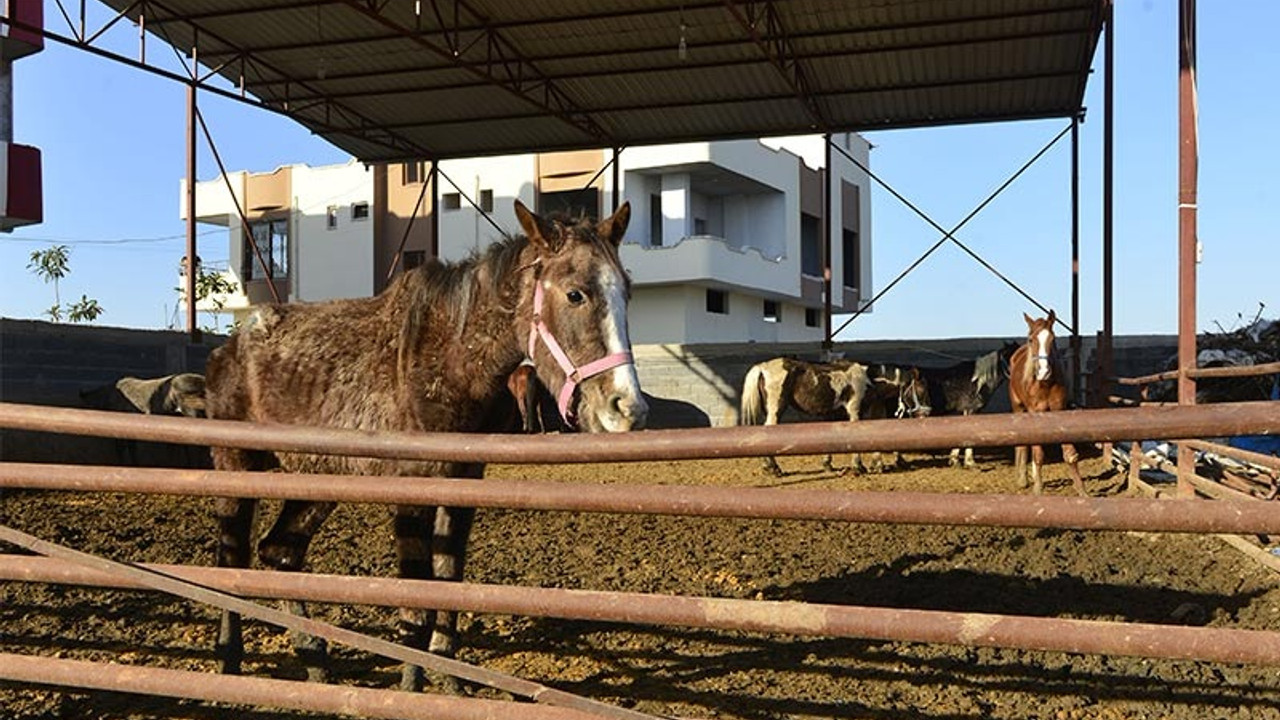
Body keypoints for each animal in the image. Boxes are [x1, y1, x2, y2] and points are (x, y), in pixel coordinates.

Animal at [209, 197, 650, 691]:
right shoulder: (412, 487)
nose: (626, 408)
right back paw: (230, 656)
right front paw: (410, 686)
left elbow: (447, 583)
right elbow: (415, 599)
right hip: (235, 466)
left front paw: (450, 680)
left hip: (317, 479)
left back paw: (315, 660)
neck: (451, 362)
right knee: (231, 555)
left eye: (628, 292)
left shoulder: (462, 485)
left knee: (280, 553)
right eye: (575, 294)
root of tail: (227, 347)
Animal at [1008, 308, 1080, 491]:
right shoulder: (1034, 412)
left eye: (1052, 339)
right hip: (1019, 409)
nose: (1044, 372)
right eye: (1031, 339)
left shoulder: (1059, 410)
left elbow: (1069, 454)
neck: (1045, 384)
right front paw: (1038, 489)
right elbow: (1038, 453)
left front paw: (1082, 491)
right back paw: (1022, 479)